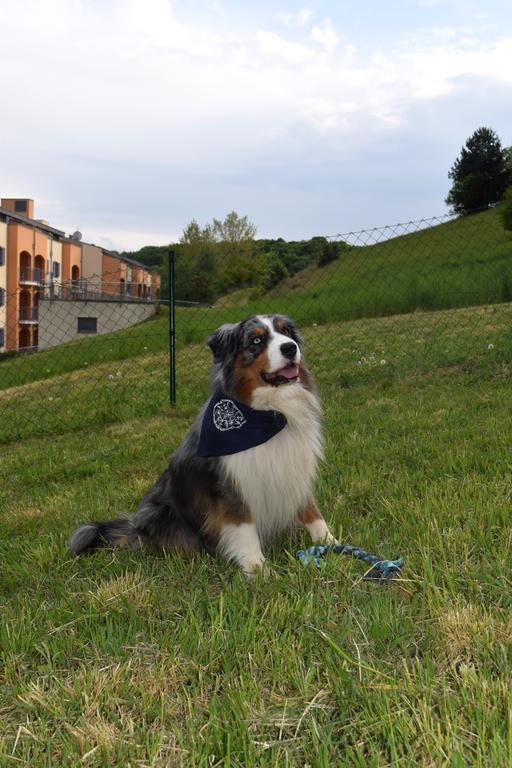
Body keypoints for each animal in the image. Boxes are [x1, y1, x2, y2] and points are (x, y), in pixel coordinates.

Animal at [68, 316, 334, 572]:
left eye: (286, 331)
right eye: (256, 341)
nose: (290, 348)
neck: (269, 413)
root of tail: (135, 527)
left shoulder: (293, 468)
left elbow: (311, 510)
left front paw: (330, 543)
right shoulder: (229, 487)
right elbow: (244, 529)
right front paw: (258, 569)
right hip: (163, 513)